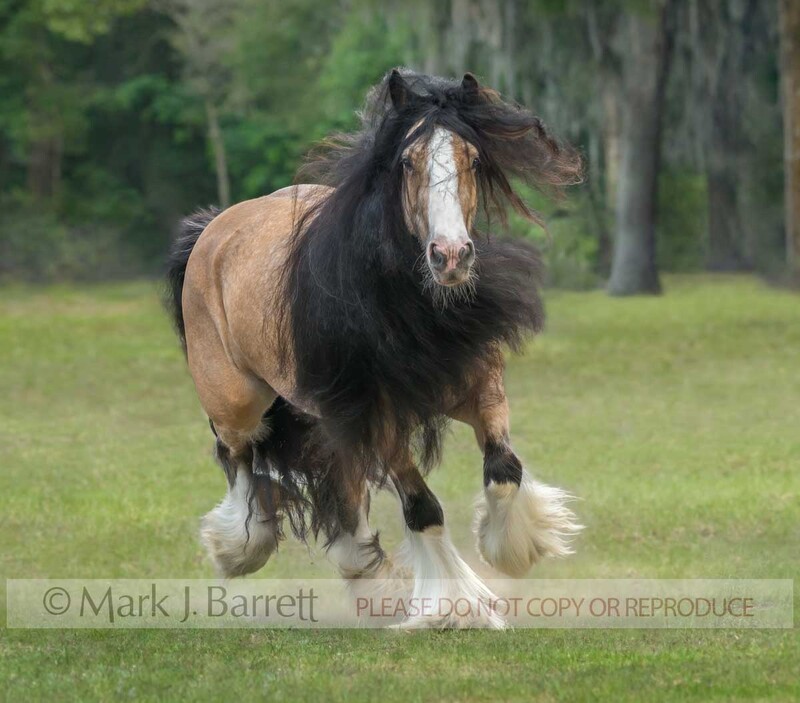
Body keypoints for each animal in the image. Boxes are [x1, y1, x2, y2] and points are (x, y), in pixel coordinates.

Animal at [166, 69, 584, 629]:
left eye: (474, 159)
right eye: (408, 162)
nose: (451, 256)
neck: (408, 308)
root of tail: (213, 229)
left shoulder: (481, 391)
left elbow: (504, 473)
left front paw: (512, 551)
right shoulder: (381, 418)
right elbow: (423, 507)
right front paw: (453, 608)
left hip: (326, 413)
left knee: (338, 480)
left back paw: (362, 569)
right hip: (238, 402)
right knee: (237, 454)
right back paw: (240, 546)